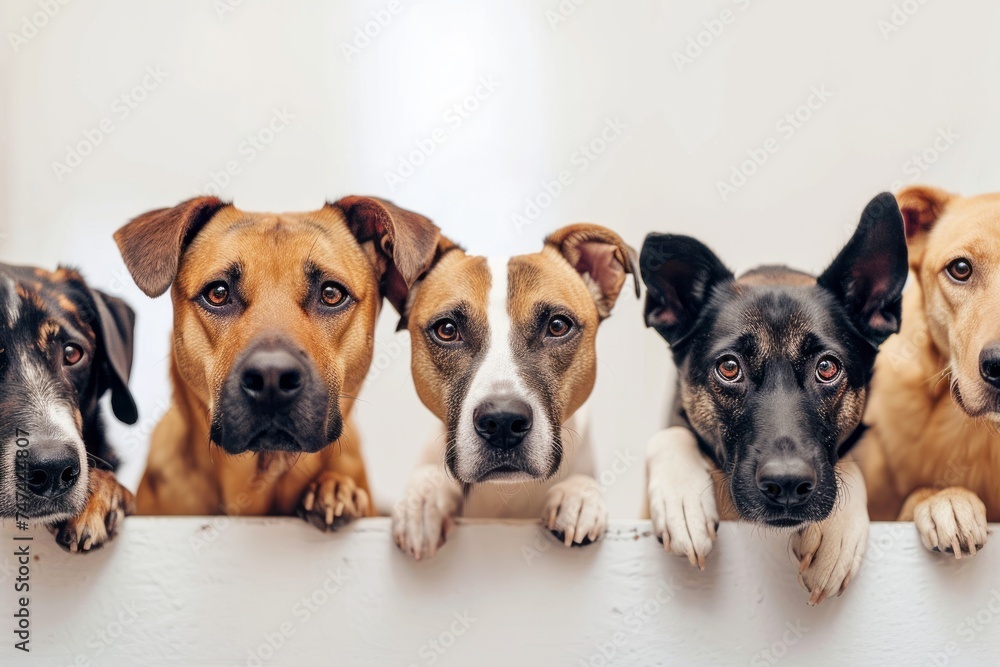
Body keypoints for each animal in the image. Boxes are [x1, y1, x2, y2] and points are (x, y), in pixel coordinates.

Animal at [392, 223, 640, 560]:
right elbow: (428, 475)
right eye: (447, 330)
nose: (502, 423)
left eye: (558, 326)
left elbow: (582, 481)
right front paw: (422, 502)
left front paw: (578, 497)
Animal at [640, 193, 908, 604]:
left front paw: (837, 529)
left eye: (827, 368)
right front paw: (681, 497)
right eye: (729, 367)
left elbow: (847, 463)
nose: (786, 486)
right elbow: (672, 433)